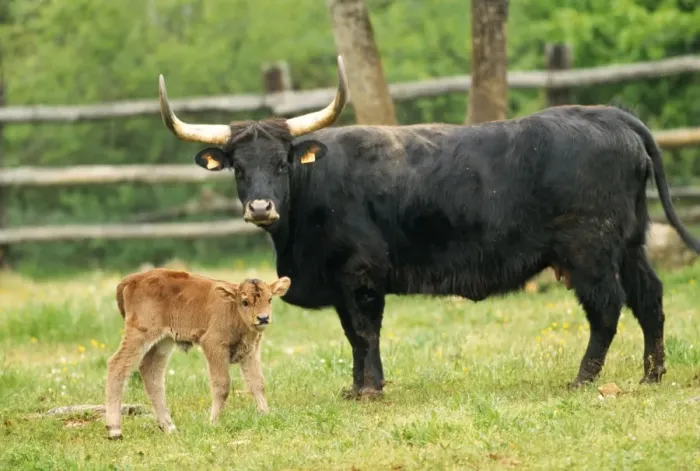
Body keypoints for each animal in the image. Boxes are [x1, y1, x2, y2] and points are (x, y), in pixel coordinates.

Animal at [105, 268, 291, 439]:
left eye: (269, 299)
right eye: (245, 302)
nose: (263, 318)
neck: (232, 307)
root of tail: (133, 279)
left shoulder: (251, 351)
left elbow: (257, 383)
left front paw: (265, 415)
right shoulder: (213, 346)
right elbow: (222, 385)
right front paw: (214, 422)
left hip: (163, 342)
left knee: (151, 372)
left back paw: (169, 427)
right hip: (140, 335)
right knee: (117, 365)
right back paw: (115, 430)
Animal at [156, 56, 700, 398]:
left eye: (282, 162)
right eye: (238, 167)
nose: (261, 206)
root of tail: (612, 116)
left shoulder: (360, 274)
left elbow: (363, 332)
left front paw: (369, 389)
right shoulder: (340, 282)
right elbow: (353, 334)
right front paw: (356, 386)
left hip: (590, 251)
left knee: (607, 308)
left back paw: (584, 380)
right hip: (631, 242)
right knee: (649, 298)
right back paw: (652, 375)